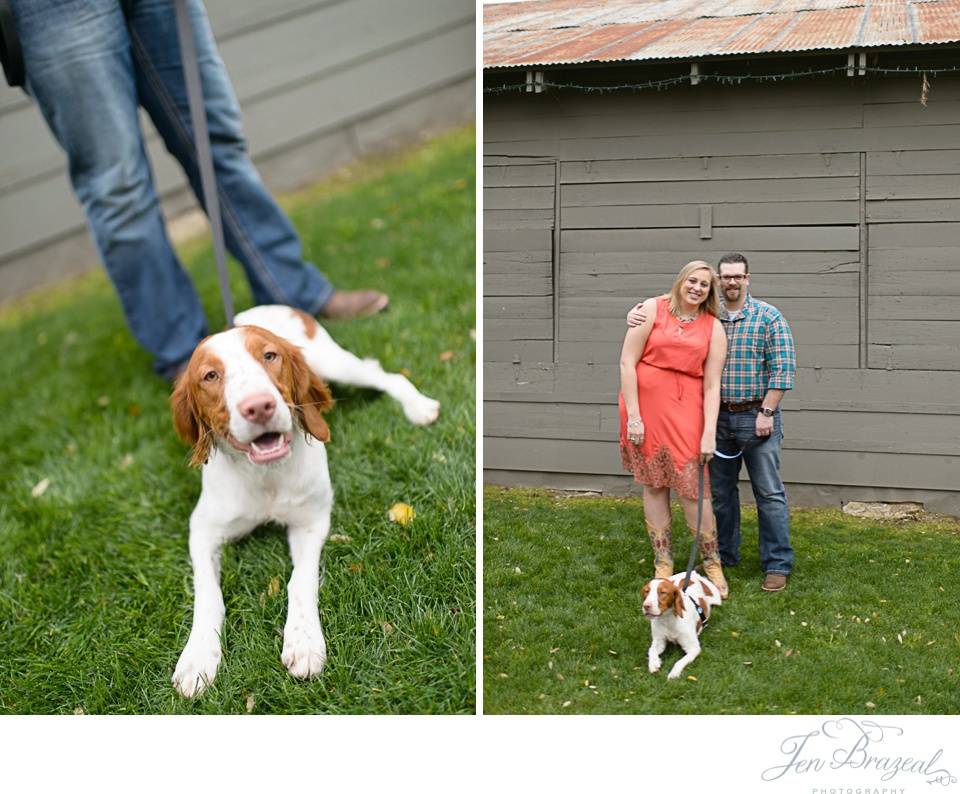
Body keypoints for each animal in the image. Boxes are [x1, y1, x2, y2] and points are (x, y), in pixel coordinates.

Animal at [171, 304, 440, 692]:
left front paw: (304, 641)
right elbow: (208, 594)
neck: (266, 476)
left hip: (333, 361)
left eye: (270, 356)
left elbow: (300, 580)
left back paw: (419, 406)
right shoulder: (202, 530)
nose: (259, 407)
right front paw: (197, 658)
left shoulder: (311, 521)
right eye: (210, 376)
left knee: (381, 373)